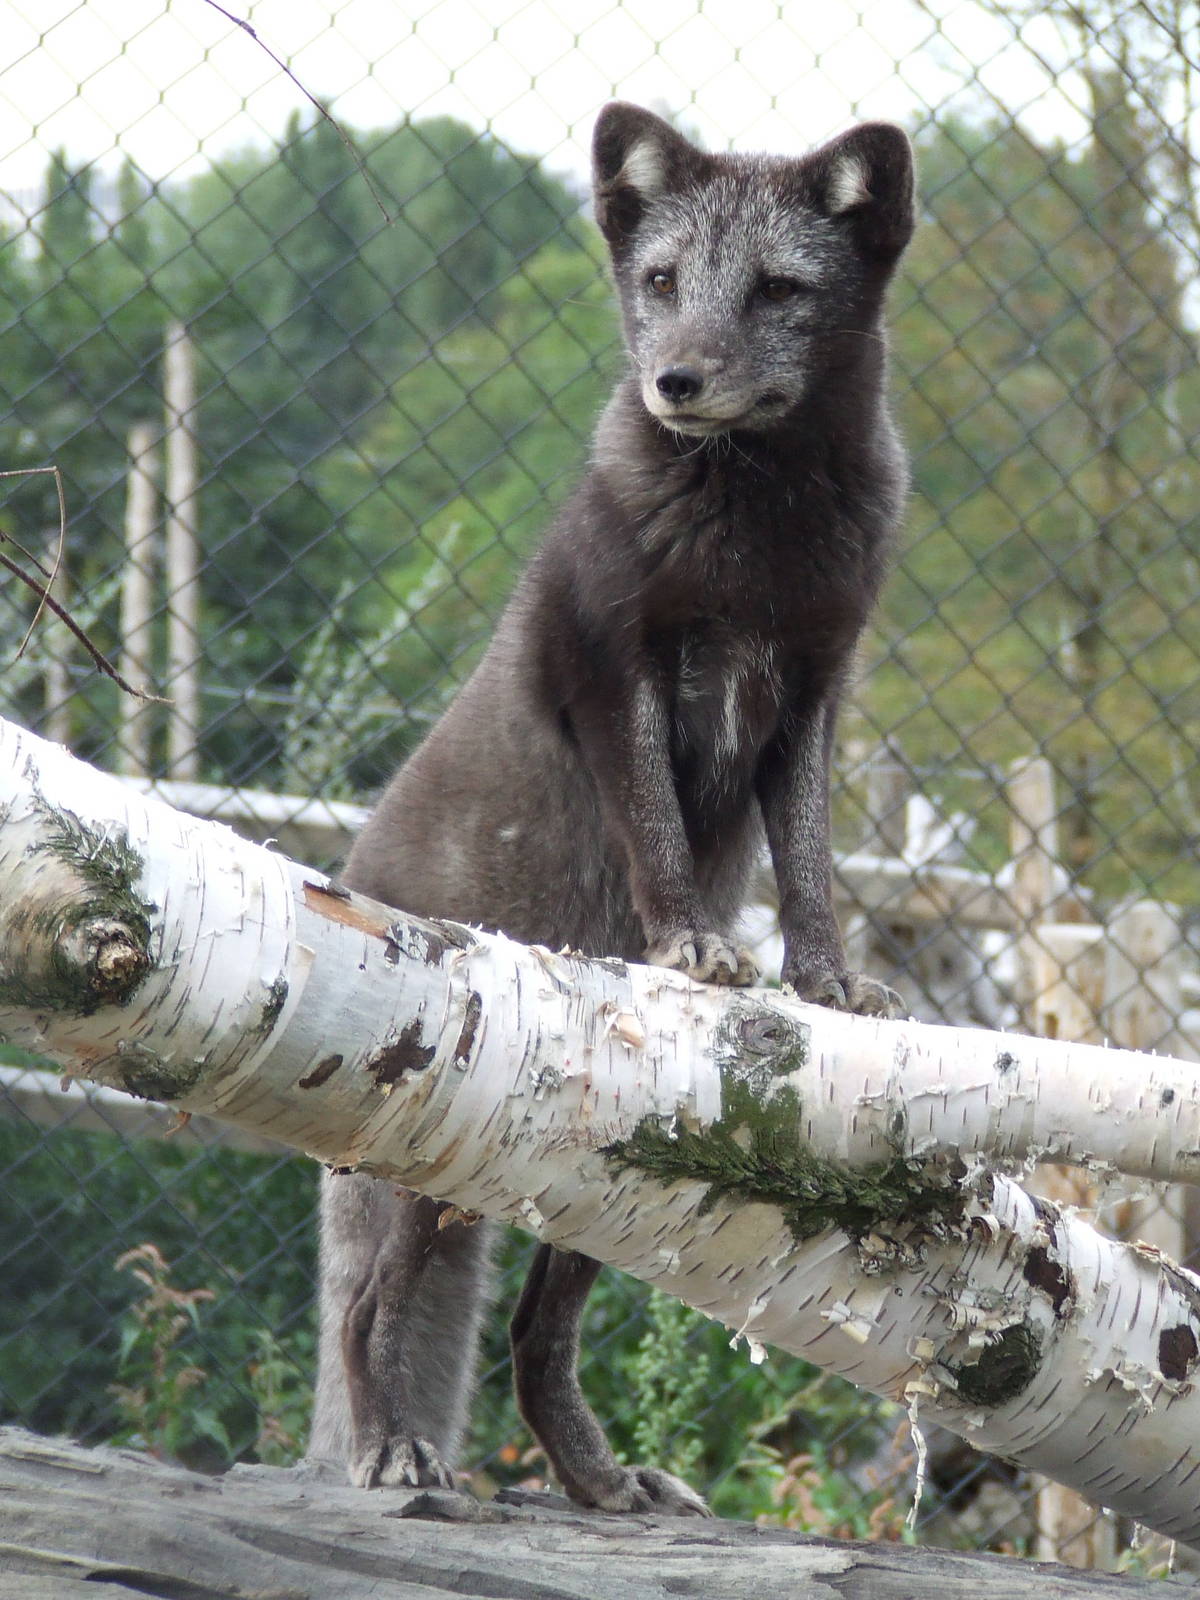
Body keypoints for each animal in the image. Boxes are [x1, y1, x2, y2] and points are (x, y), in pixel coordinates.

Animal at [307, 100, 914, 1516]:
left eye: (778, 289)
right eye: (662, 282)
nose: (675, 382)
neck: (758, 529)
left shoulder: (815, 688)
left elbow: (811, 858)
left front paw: (824, 979)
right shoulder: (614, 668)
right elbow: (652, 826)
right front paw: (691, 943)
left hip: (602, 1179)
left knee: (538, 1336)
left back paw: (596, 1480)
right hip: (439, 1155)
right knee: (368, 1309)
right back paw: (390, 1449)